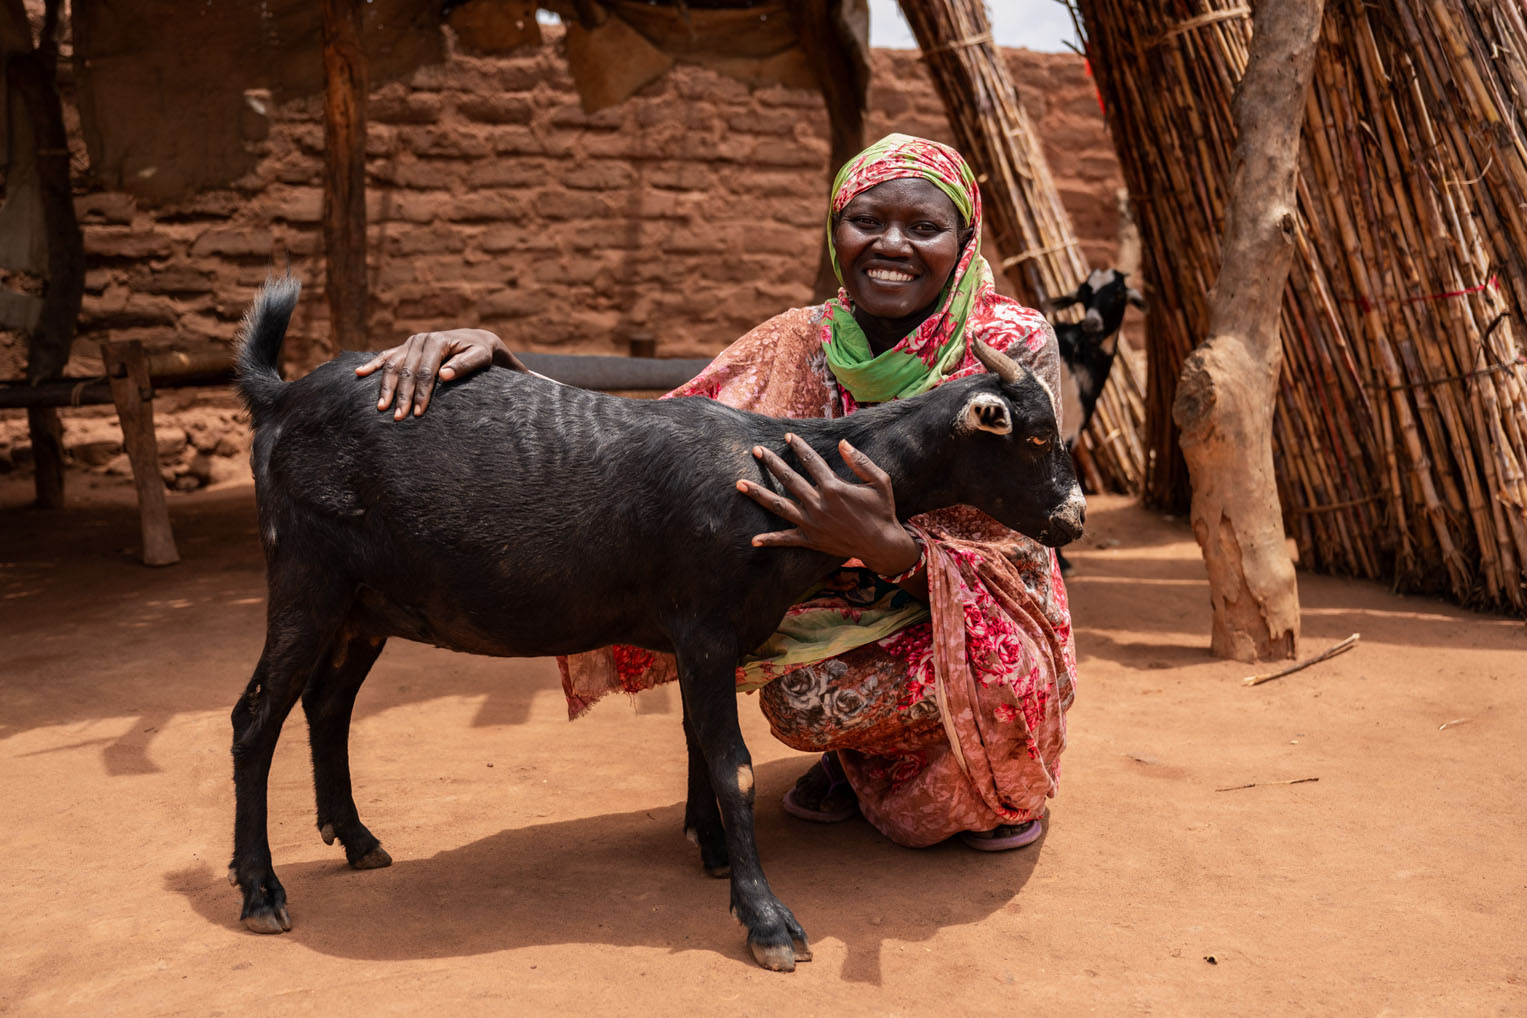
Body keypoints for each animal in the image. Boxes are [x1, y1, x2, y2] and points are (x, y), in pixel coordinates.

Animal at [225, 276, 1087, 970]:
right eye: (1037, 435)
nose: (1073, 518)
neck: (776, 473)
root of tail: (281, 397)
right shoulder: (704, 625)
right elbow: (733, 764)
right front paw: (767, 922)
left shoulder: (713, 640)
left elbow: (699, 745)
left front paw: (711, 851)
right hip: (305, 579)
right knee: (255, 718)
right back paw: (261, 890)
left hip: (366, 604)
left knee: (326, 705)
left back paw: (356, 839)